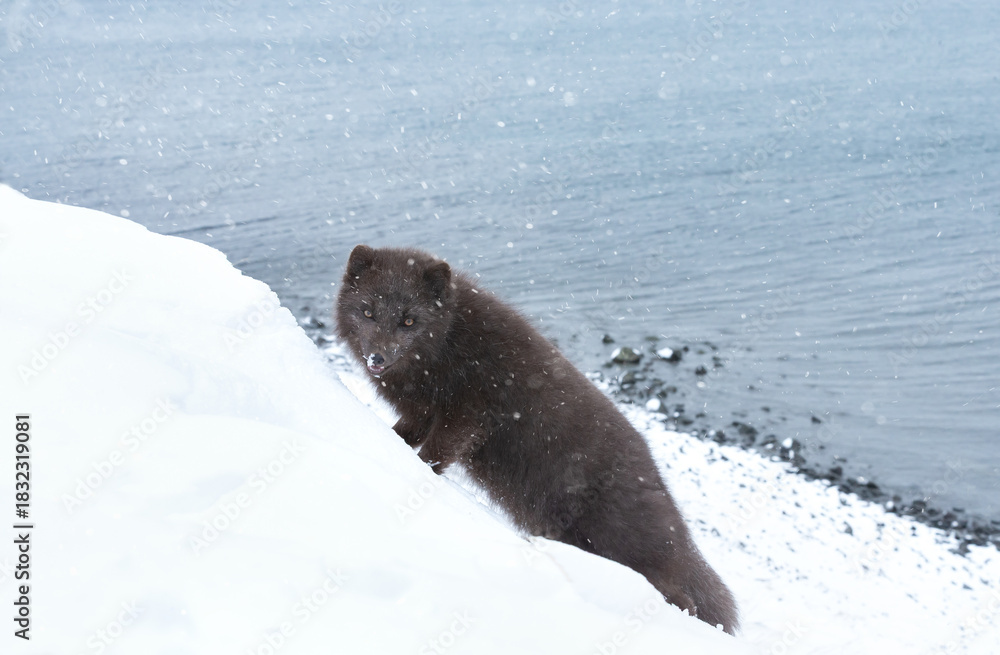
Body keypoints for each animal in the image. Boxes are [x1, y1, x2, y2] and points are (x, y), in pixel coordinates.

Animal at [335, 244, 739, 634]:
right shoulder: (420, 412)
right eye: (368, 311)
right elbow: (404, 434)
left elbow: (435, 453)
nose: (378, 357)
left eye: (409, 320)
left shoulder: (468, 412)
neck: (447, 348)